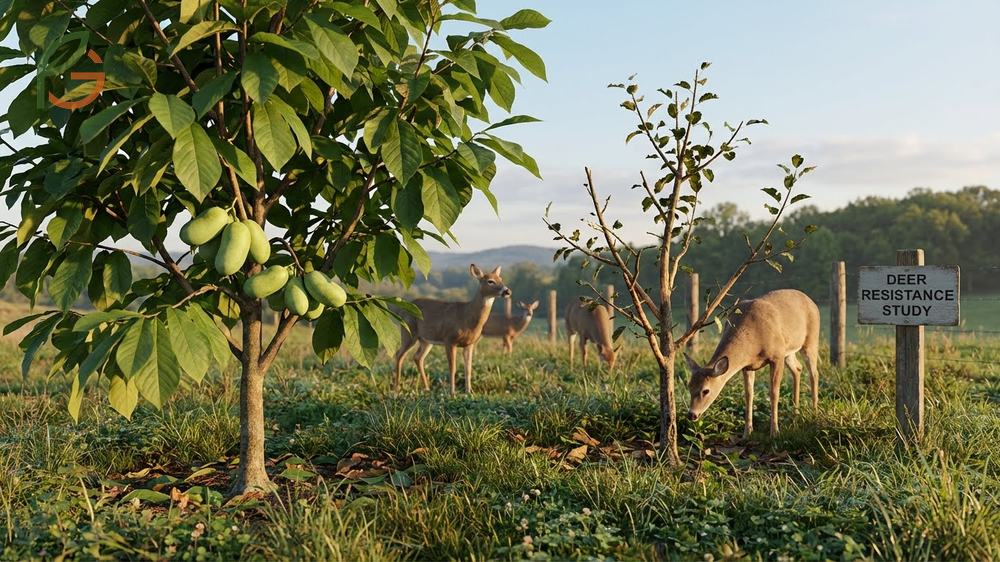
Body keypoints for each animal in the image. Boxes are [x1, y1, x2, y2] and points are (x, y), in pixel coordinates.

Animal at [394, 264, 510, 395]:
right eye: (490, 281)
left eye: (501, 279)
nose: (507, 291)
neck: (466, 317)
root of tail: (401, 311)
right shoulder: (449, 339)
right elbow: (452, 368)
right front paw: (452, 393)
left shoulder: (469, 344)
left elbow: (468, 369)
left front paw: (469, 392)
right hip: (408, 332)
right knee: (399, 354)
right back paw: (396, 389)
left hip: (425, 340)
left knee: (417, 357)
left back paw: (427, 388)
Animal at [685, 288, 820, 438]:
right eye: (689, 386)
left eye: (706, 390)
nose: (692, 415)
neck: (754, 339)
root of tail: (812, 302)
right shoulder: (747, 366)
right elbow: (749, 394)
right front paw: (747, 432)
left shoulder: (777, 355)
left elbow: (774, 393)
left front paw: (774, 432)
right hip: (789, 351)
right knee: (797, 368)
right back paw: (795, 417)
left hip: (811, 340)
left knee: (814, 373)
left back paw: (814, 414)